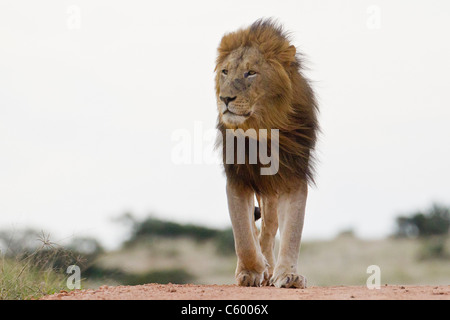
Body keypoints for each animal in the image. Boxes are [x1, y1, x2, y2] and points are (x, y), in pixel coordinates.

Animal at [215, 18, 318, 288]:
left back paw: (271, 270)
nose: (225, 98)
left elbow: (292, 230)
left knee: (269, 230)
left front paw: (288, 275)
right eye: (225, 71)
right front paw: (250, 271)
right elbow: (242, 233)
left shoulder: (293, 176)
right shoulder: (237, 178)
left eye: (251, 72)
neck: (262, 128)